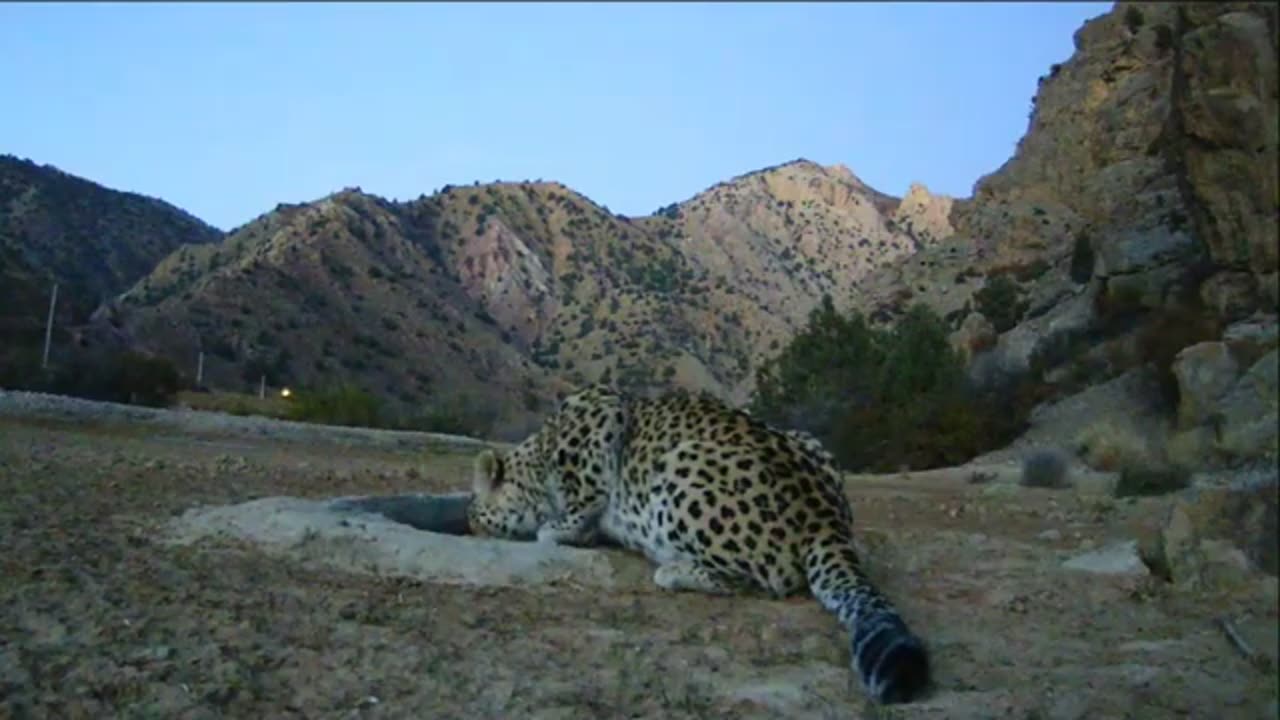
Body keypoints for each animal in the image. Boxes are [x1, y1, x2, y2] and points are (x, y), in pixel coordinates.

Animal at [465, 381, 926, 702]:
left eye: (477, 518)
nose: (471, 528)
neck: (536, 460)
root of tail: (824, 519)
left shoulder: (601, 418)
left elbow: (582, 498)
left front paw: (556, 528)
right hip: (809, 440)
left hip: (679, 465)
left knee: (764, 579)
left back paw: (673, 570)